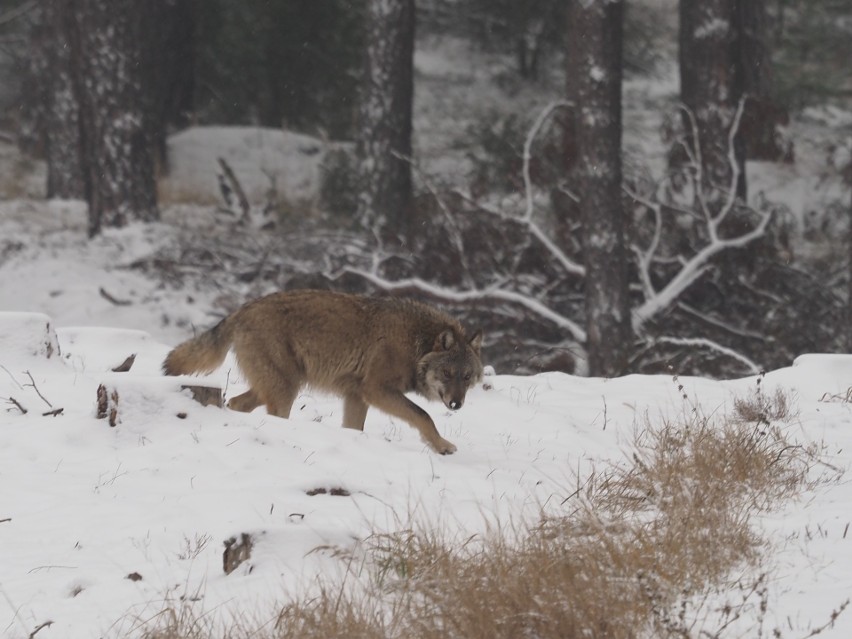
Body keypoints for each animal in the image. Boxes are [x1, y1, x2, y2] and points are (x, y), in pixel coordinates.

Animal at [163, 290, 482, 456]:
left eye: (466, 377)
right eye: (447, 373)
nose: (456, 404)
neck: (415, 341)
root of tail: (242, 309)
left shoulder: (356, 396)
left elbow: (354, 428)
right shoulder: (375, 390)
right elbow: (423, 415)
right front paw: (441, 446)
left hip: (277, 386)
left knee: (235, 402)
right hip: (285, 391)